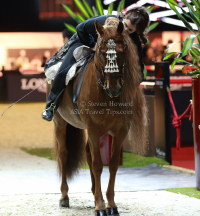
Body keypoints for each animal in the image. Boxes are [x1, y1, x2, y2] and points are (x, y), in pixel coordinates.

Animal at [48, 19, 148, 215]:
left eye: (123, 51)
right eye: (101, 53)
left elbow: (113, 165)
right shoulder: (94, 130)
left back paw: (95, 193)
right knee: (64, 154)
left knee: (88, 153)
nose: (114, 88)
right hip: (60, 123)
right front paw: (101, 207)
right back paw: (64, 197)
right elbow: (97, 165)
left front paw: (110, 204)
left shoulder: (120, 131)